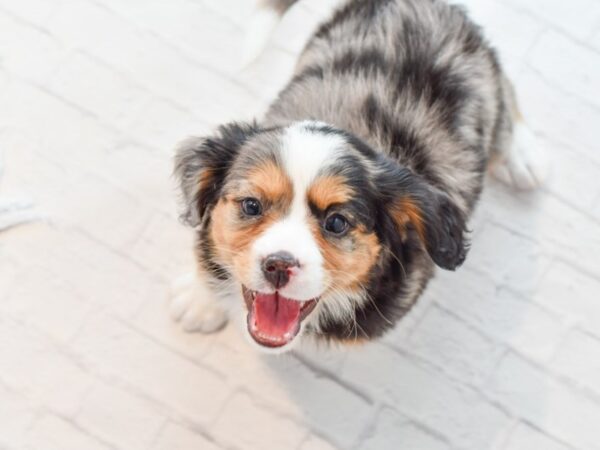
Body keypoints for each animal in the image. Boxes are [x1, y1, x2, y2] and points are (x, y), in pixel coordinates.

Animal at [170, 0, 548, 352]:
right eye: (251, 206)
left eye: (337, 222)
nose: (278, 265)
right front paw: (200, 300)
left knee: (503, 85)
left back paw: (522, 154)